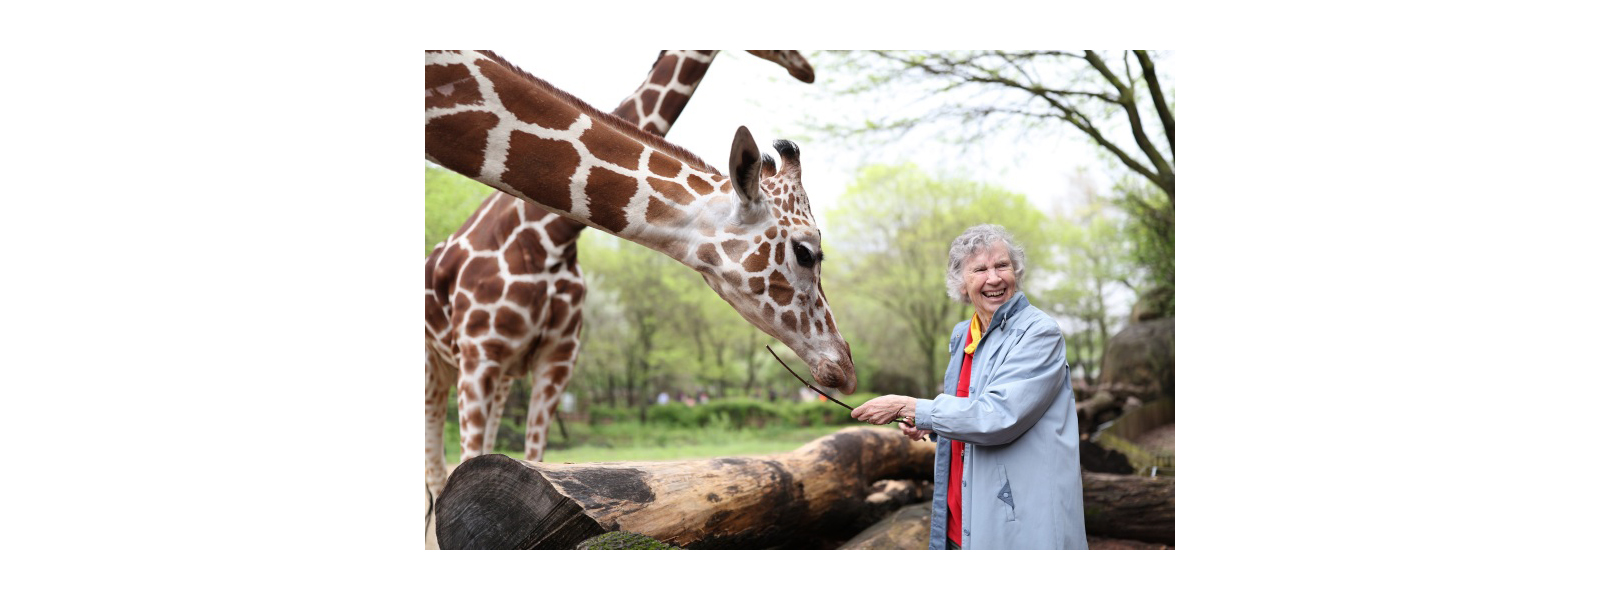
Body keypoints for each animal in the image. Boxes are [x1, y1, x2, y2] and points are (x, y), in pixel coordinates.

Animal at [424, 50, 849, 498]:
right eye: (806, 253)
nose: (845, 366)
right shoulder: (479, 354)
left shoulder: (554, 362)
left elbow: (532, 458)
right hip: (439, 366)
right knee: (435, 472)